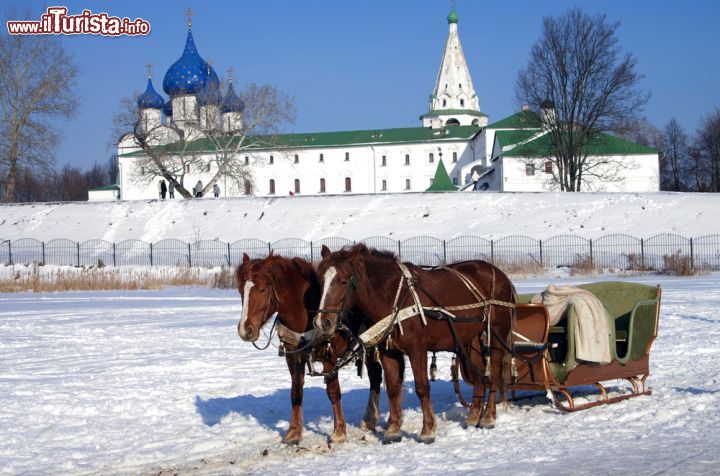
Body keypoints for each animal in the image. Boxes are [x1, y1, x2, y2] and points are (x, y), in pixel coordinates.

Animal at [235, 255, 382, 444]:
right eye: (241, 290)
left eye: (262, 289)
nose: (245, 330)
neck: (307, 312)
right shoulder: (294, 357)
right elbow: (296, 392)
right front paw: (294, 432)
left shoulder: (329, 357)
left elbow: (333, 392)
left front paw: (339, 431)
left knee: (376, 376)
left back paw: (371, 418)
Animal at [316, 244, 516, 444]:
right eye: (320, 280)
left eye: (343, 281)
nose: (322, 322)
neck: (393, 297)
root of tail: (501, 275)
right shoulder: (388, 351)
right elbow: (393, 388)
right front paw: (393, 430)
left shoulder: (417, 349)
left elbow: (422, 387)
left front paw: (427, 429)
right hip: (470, 339)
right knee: (479, 376)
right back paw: (473, 416)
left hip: (497, 334)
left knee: (494, 374)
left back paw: (488, 416)